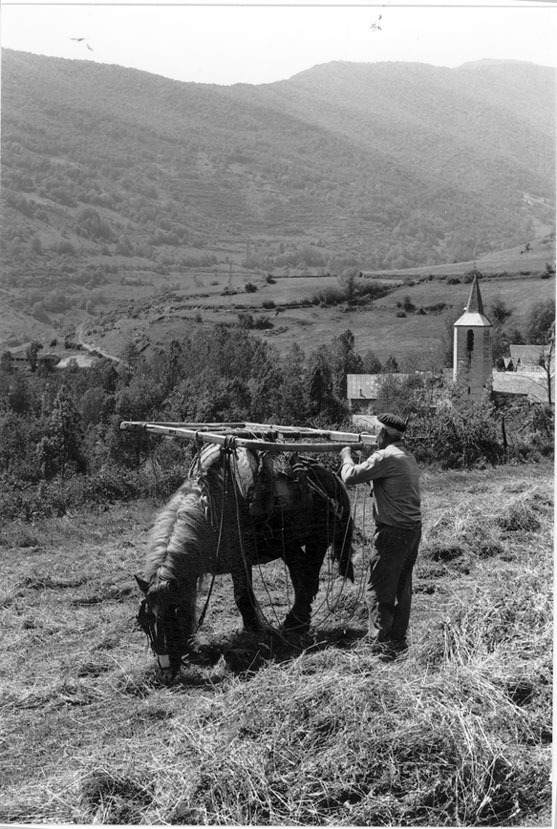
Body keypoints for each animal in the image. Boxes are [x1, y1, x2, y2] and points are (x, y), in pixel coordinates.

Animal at [137, 444, 354, 676]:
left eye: (173, 615)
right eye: (145, 620)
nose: (166, 671)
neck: (213, 510)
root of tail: (331, 477)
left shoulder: (241, 562)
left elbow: (242, 597)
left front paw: (254, 631)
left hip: (316, 541)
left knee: (309, 580)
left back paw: (295, 622)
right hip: (290, 548)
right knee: (302, 581)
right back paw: (297, 622)